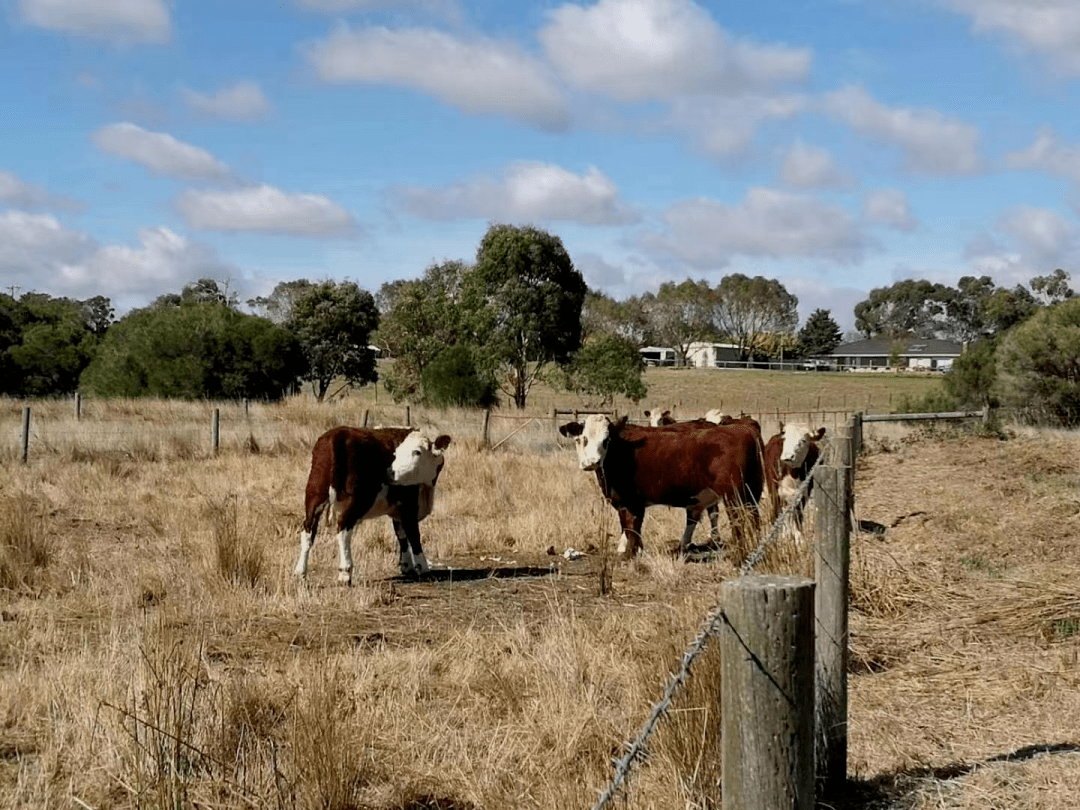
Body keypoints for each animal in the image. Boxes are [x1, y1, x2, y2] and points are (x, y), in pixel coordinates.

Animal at [295, 425, 451, 583]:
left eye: (417, 452)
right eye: (396, 453)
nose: (390, 473)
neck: (427, 488)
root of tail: (336, 435)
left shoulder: (397, 509)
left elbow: (401, 535)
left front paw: (407, 566)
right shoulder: (409, 505)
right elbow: (413, 535)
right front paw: (423, 568)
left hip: (314, 495)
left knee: (308, 530)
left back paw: (300, 571)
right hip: (355, 501)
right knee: (343, 530)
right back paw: (345, 572)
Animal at [561, 419, 764, 557]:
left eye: (606, 440)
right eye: (582, 439)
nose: (591, 462)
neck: (620, 450)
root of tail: (744, 428)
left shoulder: (633, 502)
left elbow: (632, 527)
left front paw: (630, 554)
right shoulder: (622, 502)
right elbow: (627, 526)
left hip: (734, 496)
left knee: (737, 521)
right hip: (751, 493)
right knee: (753, 519)